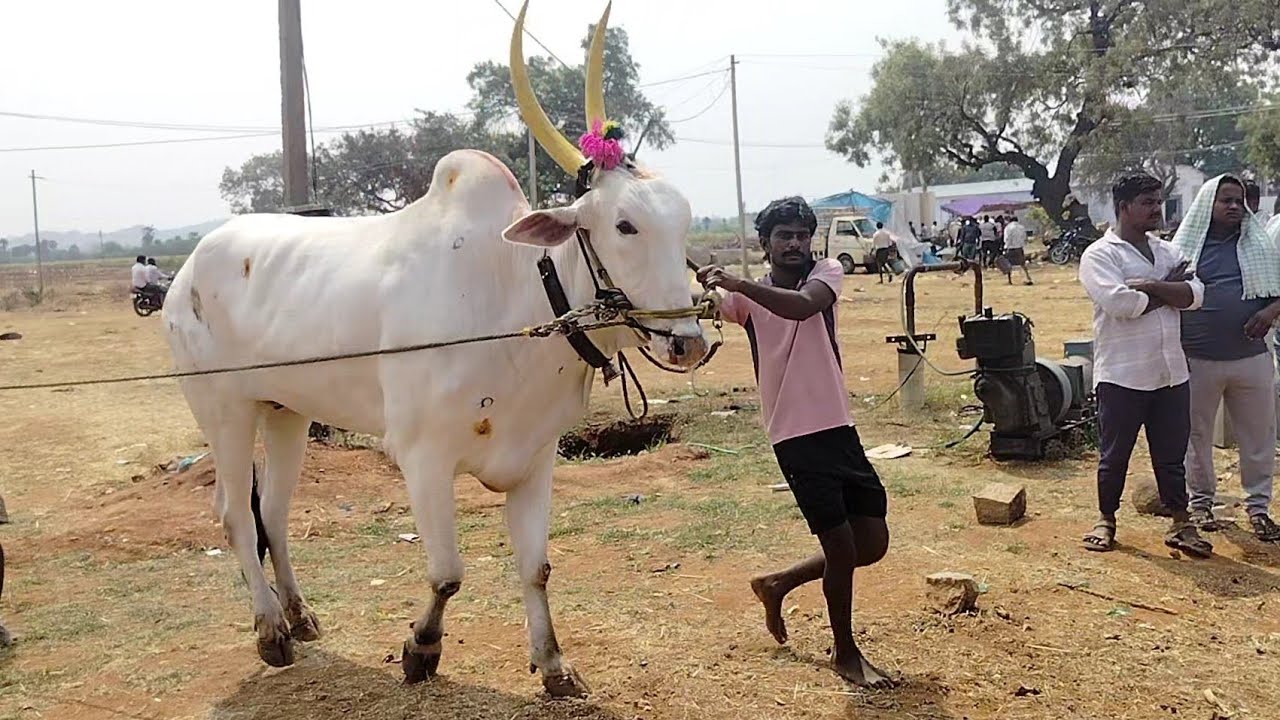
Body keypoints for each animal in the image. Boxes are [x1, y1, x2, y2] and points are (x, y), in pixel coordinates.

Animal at [161, 1, 707, 698]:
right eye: (625, 225)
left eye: (683, 219)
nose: (688, 340)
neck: (513, 303)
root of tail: (190, 265)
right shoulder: (421, 457)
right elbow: (448, 572)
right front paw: (420, 649)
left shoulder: (537, 457)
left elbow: (537, 568)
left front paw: (555, 665)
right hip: (223, 409)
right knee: (234, 513)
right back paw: (271, 631)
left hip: (288, 411)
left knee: (274, 512)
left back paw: (300, 614)